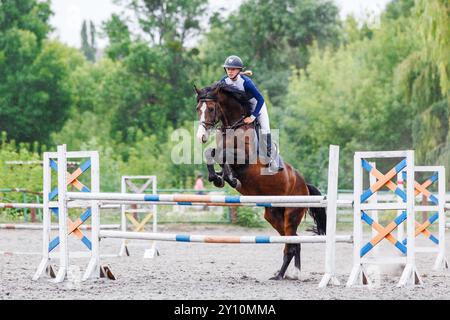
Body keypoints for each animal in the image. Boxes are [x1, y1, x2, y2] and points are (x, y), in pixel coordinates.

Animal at [193, 82, 326, 280]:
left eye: (210, 108)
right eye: (197, 109)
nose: (201, 136)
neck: (233, 126)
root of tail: (305, 186)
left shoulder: (244, 158)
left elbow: (223, 157)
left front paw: (229, 178)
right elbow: (211, 153)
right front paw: (218, 178)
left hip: (291, 214)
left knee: (291, 244)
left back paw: (281, 275)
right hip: (273, 215)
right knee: (293, 242)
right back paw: (289, 274)